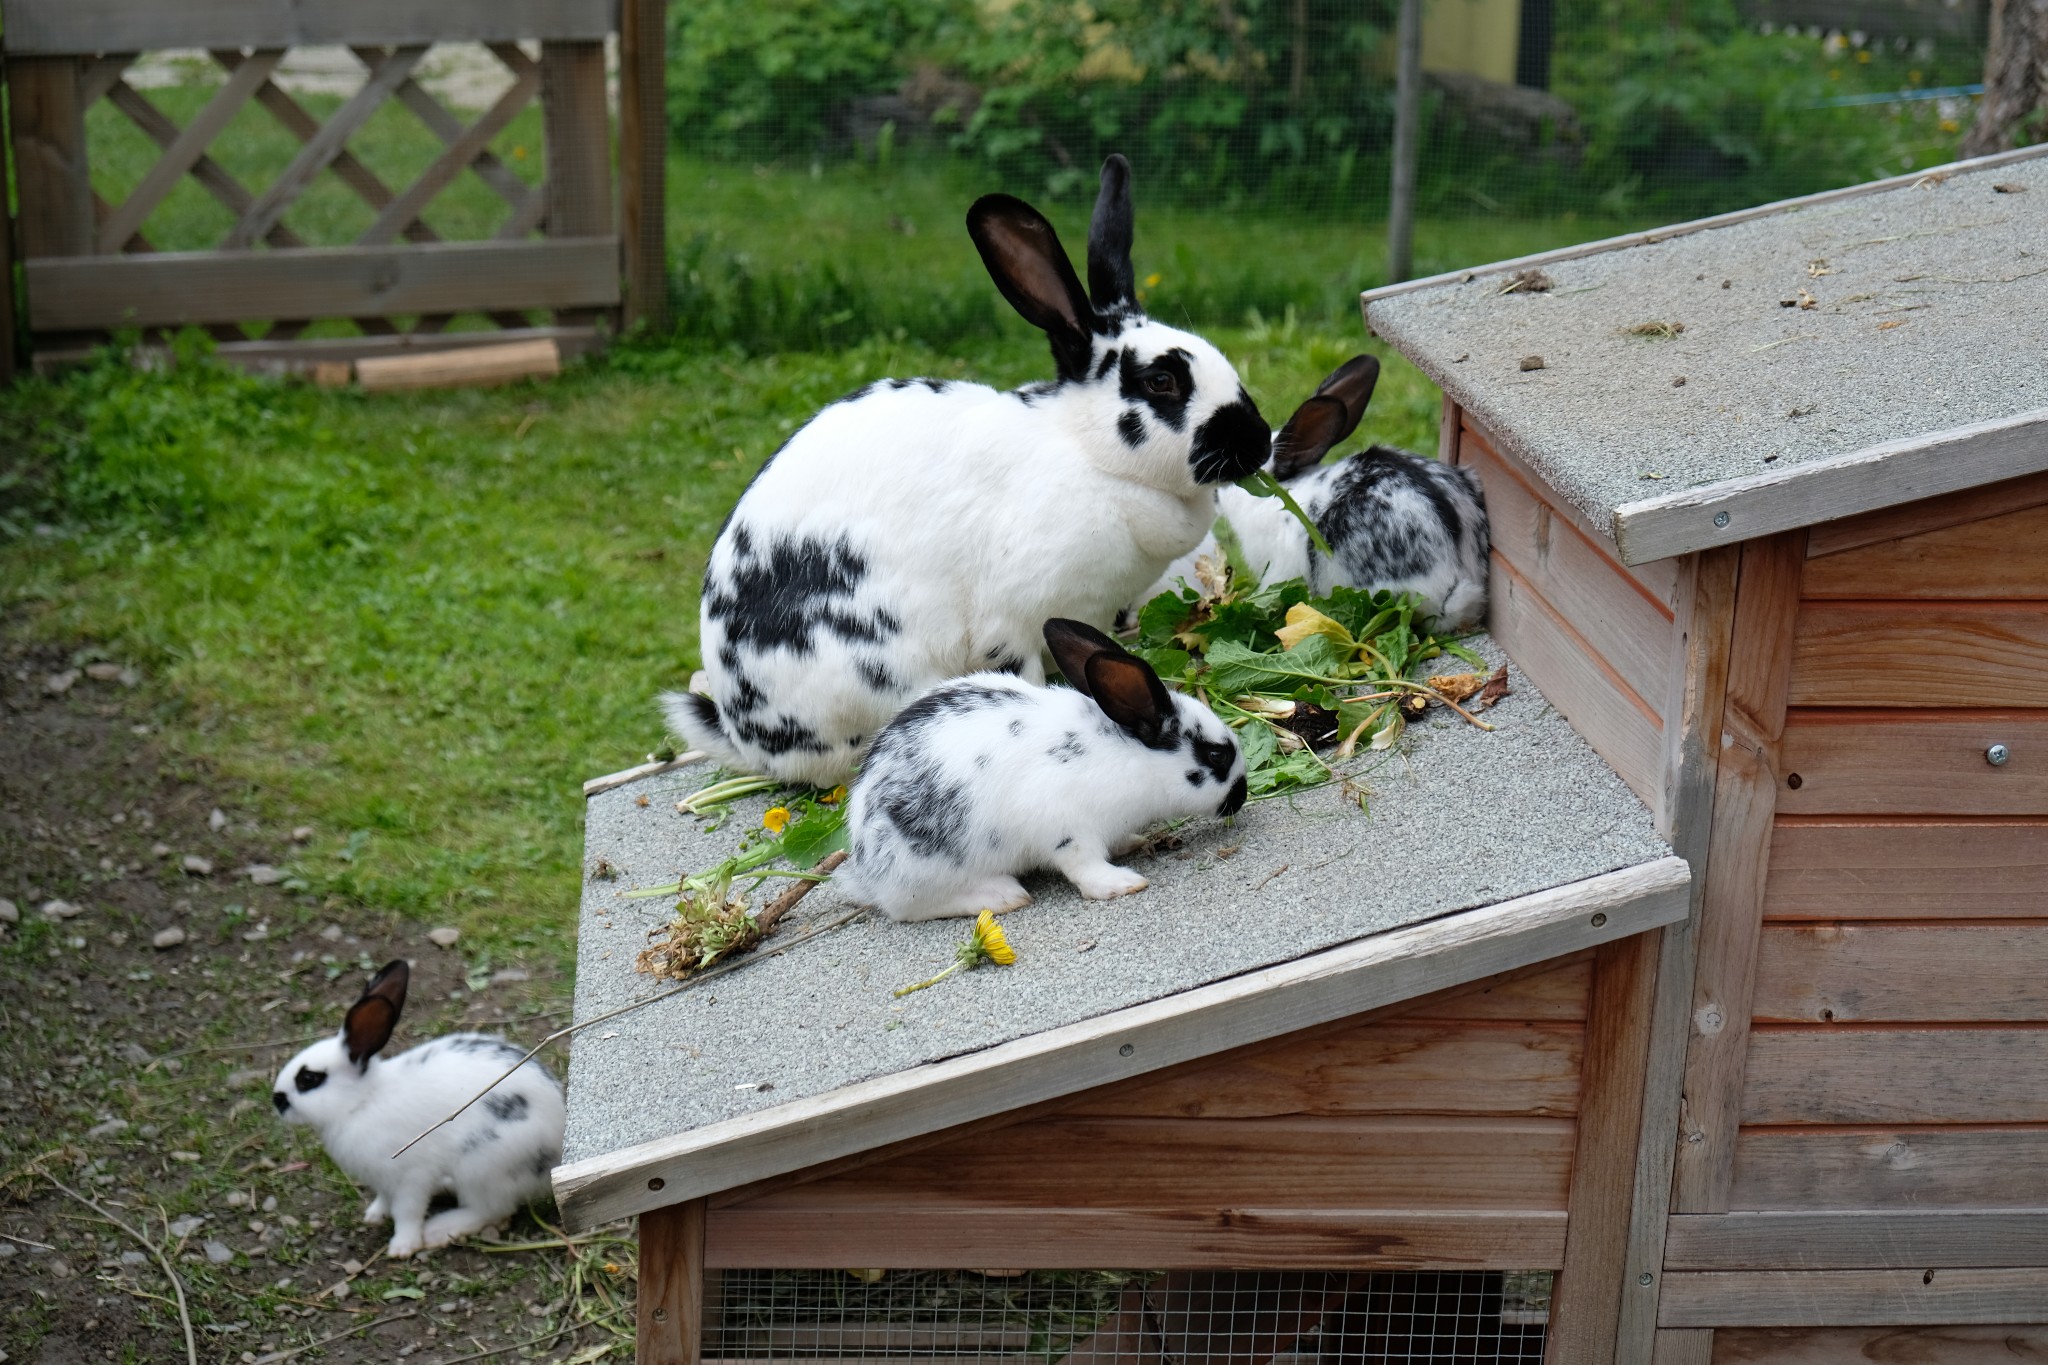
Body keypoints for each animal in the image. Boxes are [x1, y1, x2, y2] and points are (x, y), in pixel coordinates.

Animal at [270, 961, 569, 1260]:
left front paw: (402, 1247)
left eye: (309, 1079)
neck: (361, 1101)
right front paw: (374, 1215)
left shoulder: (410, 1176)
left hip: (482, 1168)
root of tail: (555, 1155)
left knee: (491, 1209)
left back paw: (440, 1229)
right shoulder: (382, 1180)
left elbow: (407, 1212)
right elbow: (384, 1198)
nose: (277, 1100)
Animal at [663, 154, 1269, 785]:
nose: (1257, 442)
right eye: (1162, 381)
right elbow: (1023, 673)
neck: (1088, 452)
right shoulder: (1011, 623)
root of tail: (747, 735)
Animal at [831, 622, 1245, 929]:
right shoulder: (1068, 829)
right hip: (925, 868)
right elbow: (1084, 867)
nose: (1240, 797)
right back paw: (1002, 895)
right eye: (1216, 754)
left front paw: (1133, 843)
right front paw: (1121, 884)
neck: (1127, 753)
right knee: (909, 908)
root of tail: (866, 864)